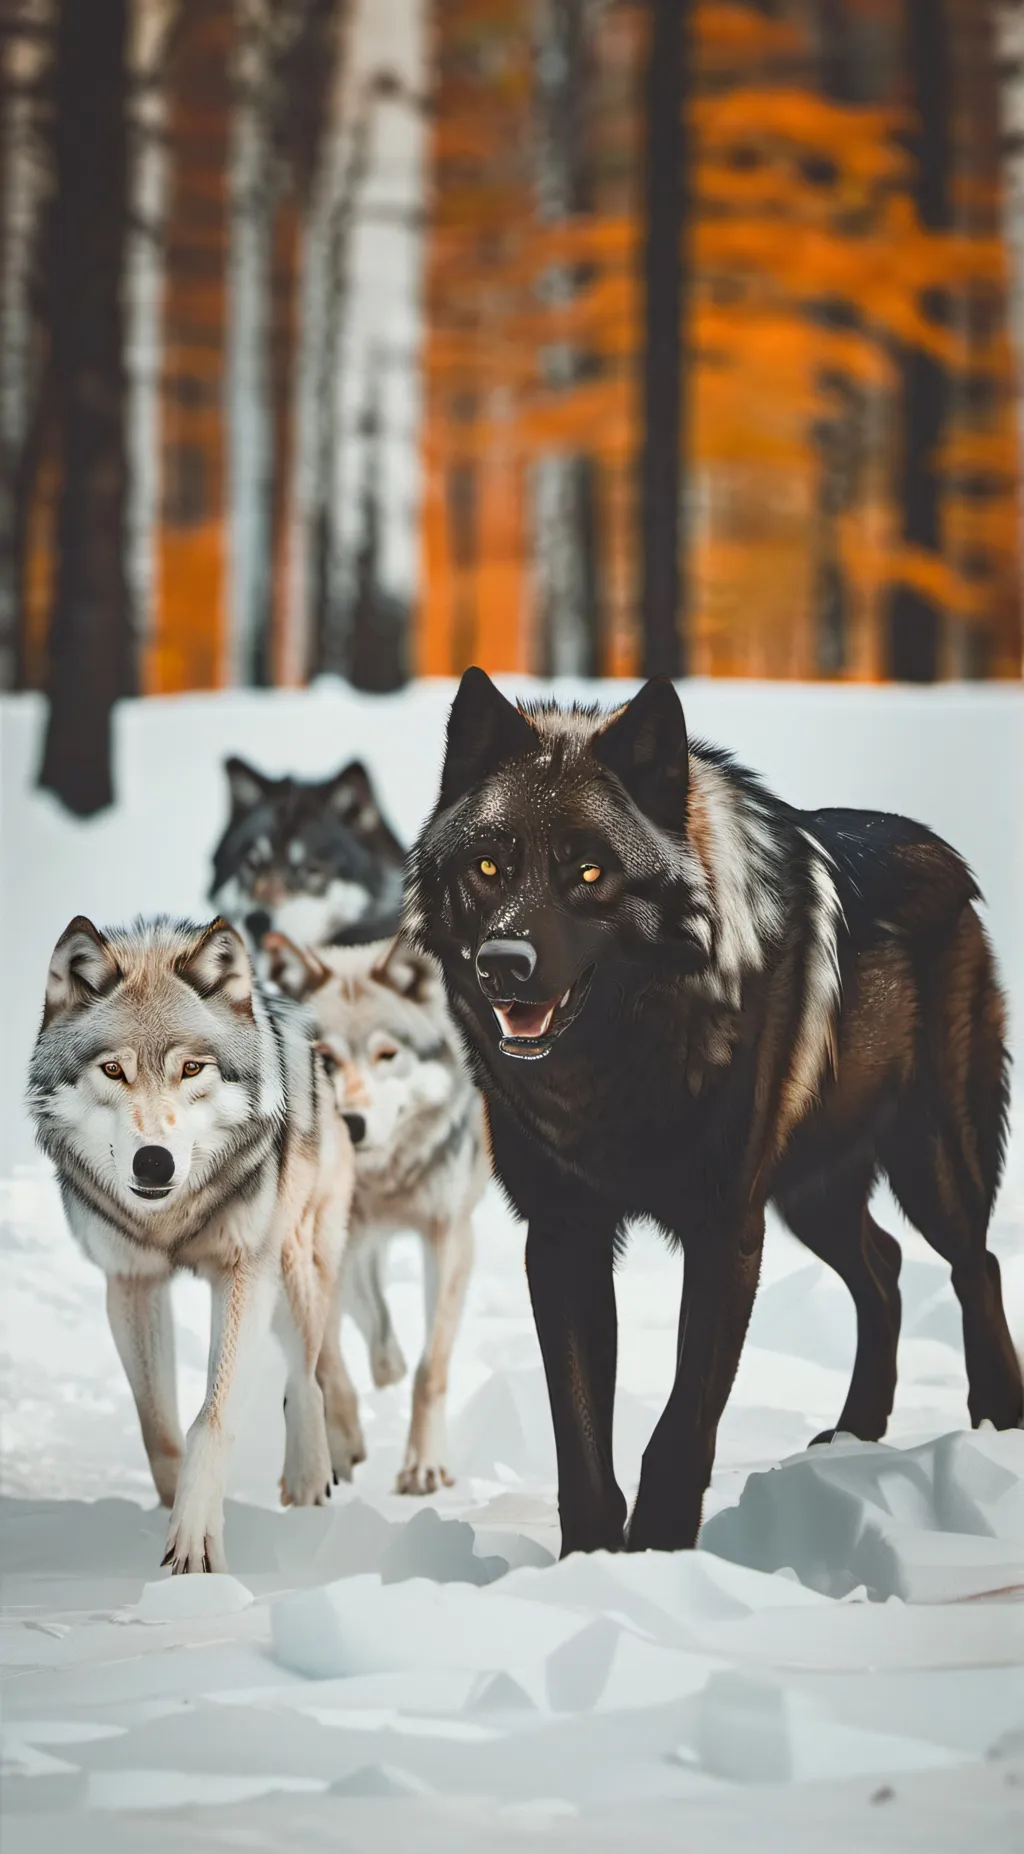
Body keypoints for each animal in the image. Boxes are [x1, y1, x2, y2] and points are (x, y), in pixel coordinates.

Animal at [28, 915, 357, 1573]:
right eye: (113, 1070)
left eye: (191, 1070)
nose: (153, 1163)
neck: (169, 1220)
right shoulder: (131, 1282)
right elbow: (157, 1425)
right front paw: (165, 1521)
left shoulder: (242, 1271)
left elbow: (212, 1418)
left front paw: (195, 1544)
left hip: (290, 1261)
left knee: (306, 1373)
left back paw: (310, 1486)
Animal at [265, 932, 488, 1494]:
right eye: (323, 1057)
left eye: (387, 1054)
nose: (353, 1123)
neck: (381, 1180)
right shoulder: (322, 1244)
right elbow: (327, 1362)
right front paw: (341, 1448)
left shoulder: (449, 1235)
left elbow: (431, 1368)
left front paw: (424, 1467)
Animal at [405, 667, 1022, 1558]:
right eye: (489, 865)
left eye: (589, 874)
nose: (504, 963)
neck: (617, 1068)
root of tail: (938, 851)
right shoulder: (563, 1236)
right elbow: (580, 1439)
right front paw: (593, 1562)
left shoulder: (726, 1228)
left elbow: (682, 1421)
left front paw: (660, 1550)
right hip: (812, 1196)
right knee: (884, 1268)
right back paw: (855, 1432)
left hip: (930, 1163)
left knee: (976, 1265)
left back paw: (996, 1420)